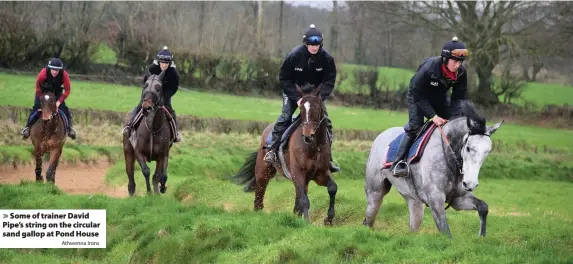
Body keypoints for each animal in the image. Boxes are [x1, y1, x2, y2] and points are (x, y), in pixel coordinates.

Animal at [122, 69, 173, 197]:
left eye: (159, 88)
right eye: (145, 86)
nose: (146, 108)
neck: (153, 128)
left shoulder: (162, 154)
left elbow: (160, 175)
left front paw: (159, 190)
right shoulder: (138, 152)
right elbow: (146, 171)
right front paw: (149, 192)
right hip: (128, 150)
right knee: (130, 173)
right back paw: (131, 192)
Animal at [232, 83, 338, 225]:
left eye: (317, 107)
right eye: (301, 109)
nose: (308, 135)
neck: (314, 146)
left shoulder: (320, 174)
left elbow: (332, 188)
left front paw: (329, 219)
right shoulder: (298, 173)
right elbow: (305, 200)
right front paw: (307, 221)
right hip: (263, 170)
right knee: (260, 189)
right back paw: (258, 212)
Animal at [364, 100, 502, 238]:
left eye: (488, 151)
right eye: (468, 148)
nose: (470, 184)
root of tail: (381, 135)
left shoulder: (458, 198)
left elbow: (483, 207)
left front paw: (481, 237)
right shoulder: (435, 199)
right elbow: (446, 232)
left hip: (414, 201)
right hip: (375, 192)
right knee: (369, 219)